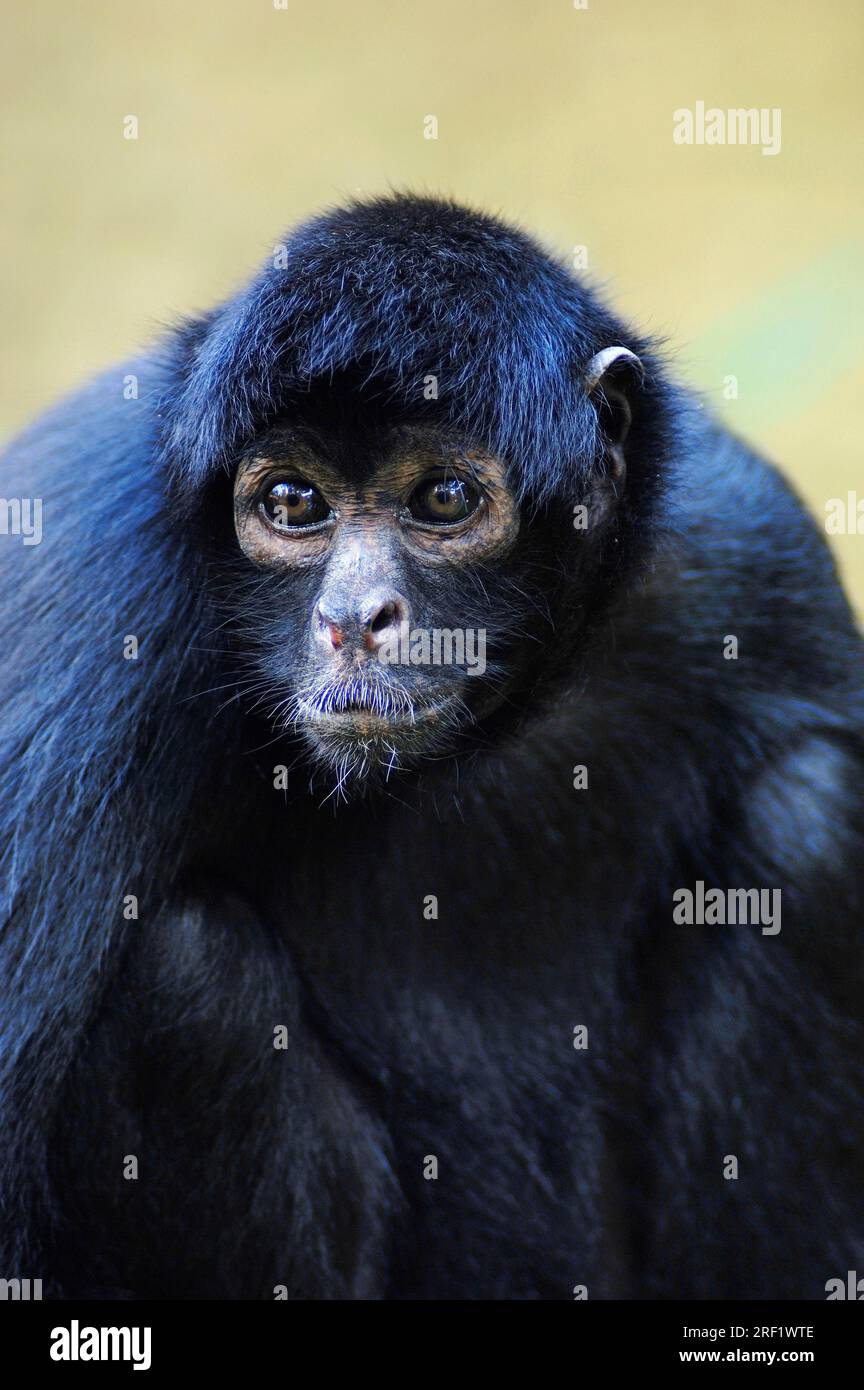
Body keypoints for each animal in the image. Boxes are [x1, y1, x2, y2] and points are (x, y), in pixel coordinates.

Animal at [0, 193, 862, 1299]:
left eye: (444, 500)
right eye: (292, 504)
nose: (355, 617)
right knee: (195, 972)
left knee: (812, 824)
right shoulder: (97, 609)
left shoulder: (755, 554)